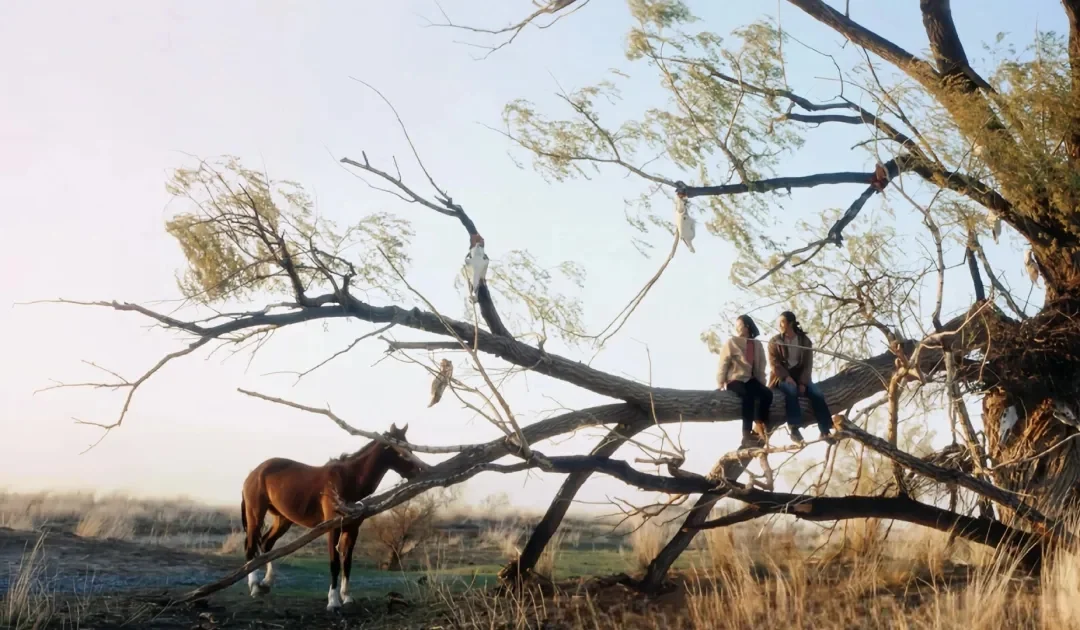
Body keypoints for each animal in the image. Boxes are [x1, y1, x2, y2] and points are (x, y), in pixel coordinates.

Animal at [243, 423, 427, 609]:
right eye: (402, 451)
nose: (418, 471)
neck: (349, 479)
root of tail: (255, 472)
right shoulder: (333, 528)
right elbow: (335, 564)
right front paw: (333, 601)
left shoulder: (352, 529)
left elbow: (347, 562)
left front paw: (347, 597)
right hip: (255, 515)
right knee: (251, 546)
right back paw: (254, 587)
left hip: (282, 519)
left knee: (266, 544)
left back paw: (266, 583)